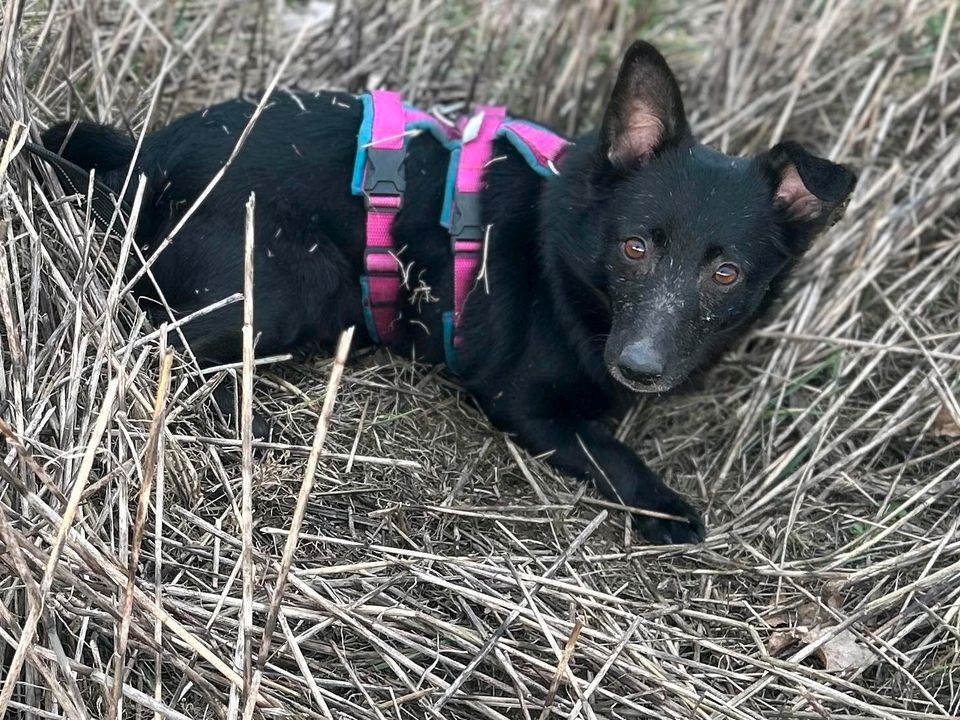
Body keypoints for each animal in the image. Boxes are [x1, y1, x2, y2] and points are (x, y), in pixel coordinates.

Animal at [35, 42, 856, 544]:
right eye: (635, 246)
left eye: (726, 273)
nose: (639, 367)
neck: (575, 250)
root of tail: (146, 155)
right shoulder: (523, 400)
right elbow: (611, 452)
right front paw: (665, 505)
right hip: (292, 277)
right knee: (164, 344)